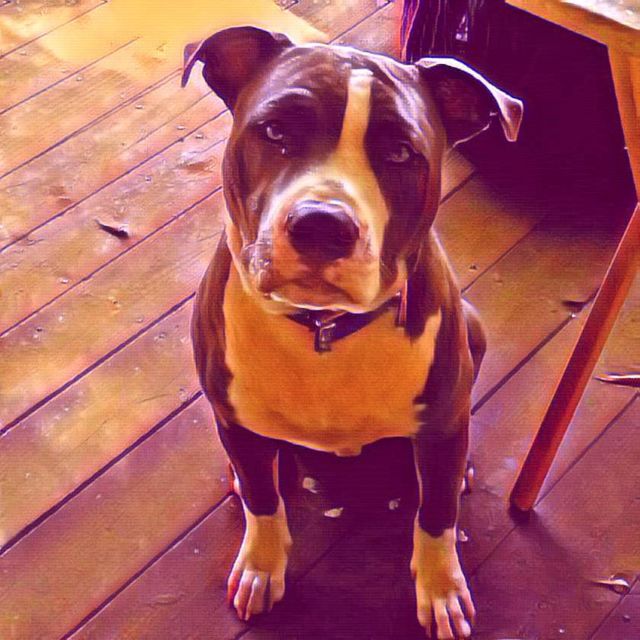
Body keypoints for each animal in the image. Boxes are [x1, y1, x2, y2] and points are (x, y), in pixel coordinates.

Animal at [182, 26, 522, 639]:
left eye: (400, 152)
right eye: (275, 130)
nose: (322, 224)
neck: (324, 331)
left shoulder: (441, 427)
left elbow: (436, 515)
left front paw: (441, 588)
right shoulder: (235, 419)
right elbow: (263, 502)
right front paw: (262, 564)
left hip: (474, 332)